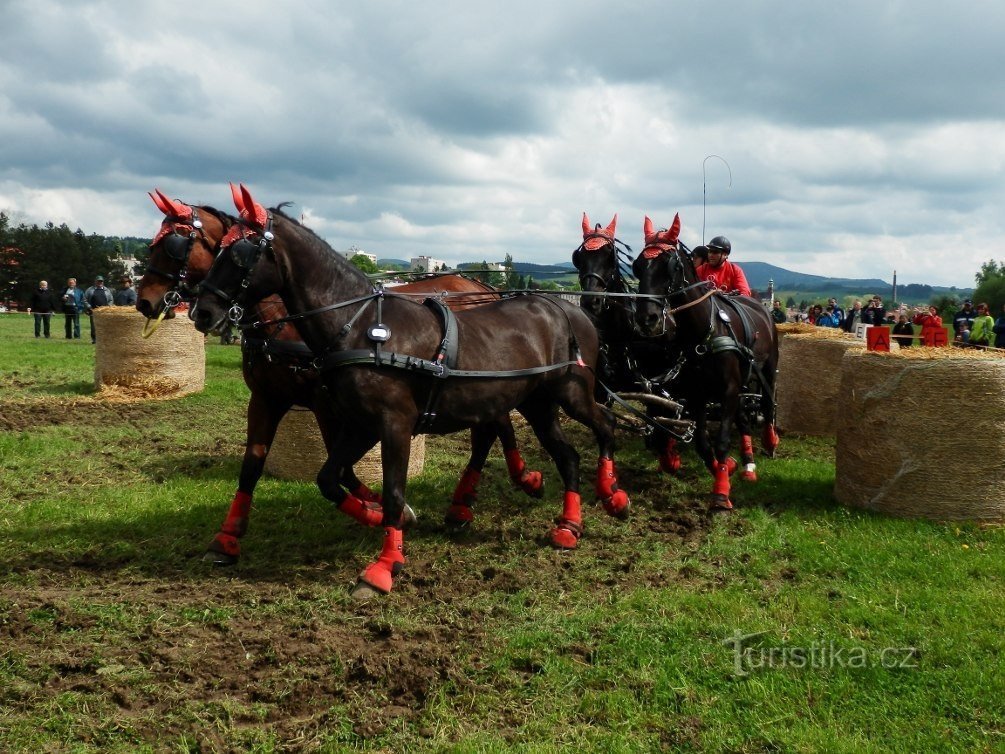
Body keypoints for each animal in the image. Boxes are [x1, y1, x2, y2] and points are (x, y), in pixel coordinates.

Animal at [139, 190, 542, 567]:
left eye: (176, 246)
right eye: (153, 245)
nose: (146, 302)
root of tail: (484, 287)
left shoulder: (326, 404)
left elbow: (343, 467)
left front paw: (386, 510)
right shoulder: (267, 398)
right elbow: (253, 465)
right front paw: (227, 537)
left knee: (494, 427)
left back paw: (508, 485)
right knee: (494, 424)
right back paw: (478, 497)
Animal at [192, 185, 631, 599]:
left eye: (240, 254)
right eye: (217, 248)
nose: (202, 312)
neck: (360, 326)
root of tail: (572, 310)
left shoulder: (394, 424)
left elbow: (391, 490)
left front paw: (384, 565)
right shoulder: (359, 424)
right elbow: (329, 479)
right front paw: (382, 518)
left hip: (572, 394)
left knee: (605, 424)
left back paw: (611, 494)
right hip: (536, 404)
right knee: (566, 456)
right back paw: (568, 523)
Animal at [635, 218, 775, 514]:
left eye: (670, 265)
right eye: (638, 264)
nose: (646, 318)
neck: (705, 330)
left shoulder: (728, 389)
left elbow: (721, 441)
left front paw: (721, 492)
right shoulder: (696, 392)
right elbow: (701, 442)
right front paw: (727, 468)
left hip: (766, 369)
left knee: (768, 404)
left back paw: (769, 442)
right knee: (743, 419)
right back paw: (747, 463)